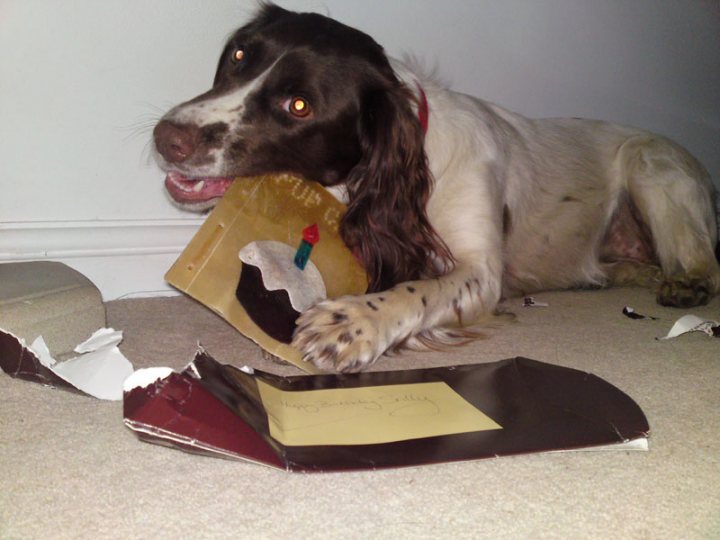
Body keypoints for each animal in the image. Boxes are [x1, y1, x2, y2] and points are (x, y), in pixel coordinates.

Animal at [153, 3, 720, 372]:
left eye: (299, 106)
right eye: (238, 57)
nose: (167, 137)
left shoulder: (481, 272)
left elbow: (414, 291)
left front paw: (350, 324)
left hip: (651, 163)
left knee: (706, 263)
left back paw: (686, 283)